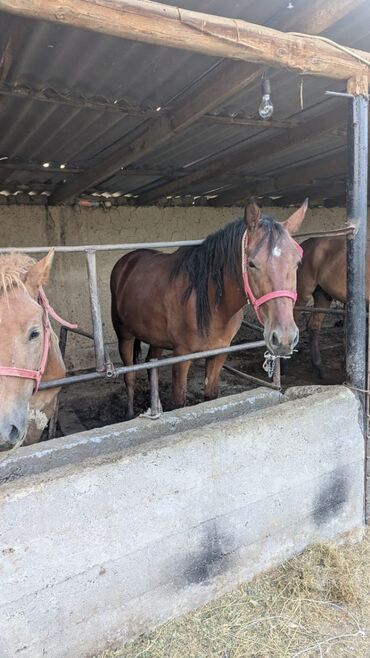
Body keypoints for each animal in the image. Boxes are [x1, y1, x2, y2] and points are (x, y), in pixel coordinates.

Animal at [111, 200, 308, 418]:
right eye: (252, 264)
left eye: (298, 262)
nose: (284, 338)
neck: (211, 304)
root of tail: (127, 261)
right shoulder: (182, 356)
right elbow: (179, 402)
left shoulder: (219, 353)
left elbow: (210, 396)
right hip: (125, 336)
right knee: (129, 376)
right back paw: (130, 414)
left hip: (156, 338)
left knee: (150, 363)